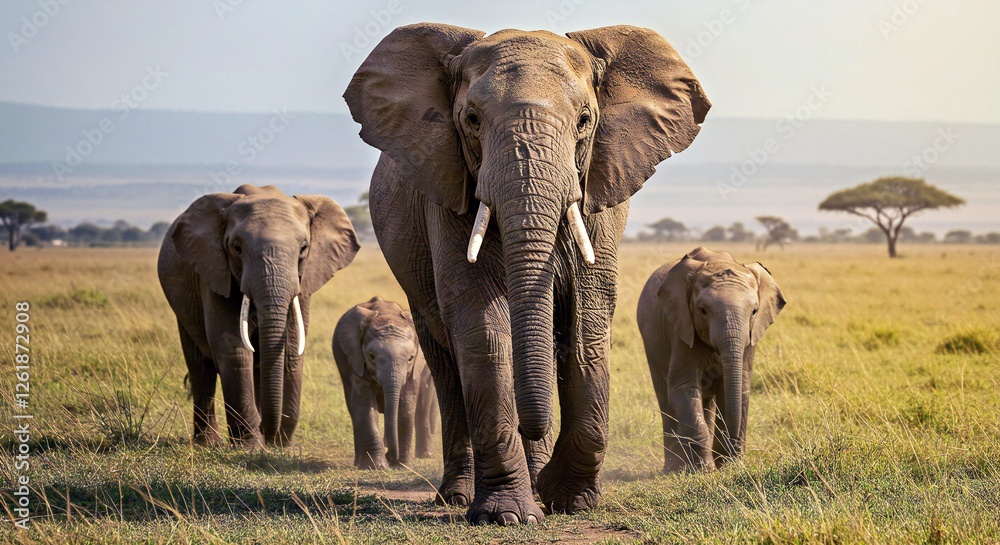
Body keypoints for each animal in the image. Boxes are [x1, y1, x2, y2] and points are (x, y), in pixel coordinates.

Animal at [158, 184, 360, 448]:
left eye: (304, 248)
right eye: (237, 248)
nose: (269, 435)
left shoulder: (304, 281)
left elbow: (292, 347)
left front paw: (283, 448)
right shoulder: (214, 273)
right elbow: (233, 347)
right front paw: (251, 447)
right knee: (201, 368)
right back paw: (208, 444)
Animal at [332, 297, 438, 469]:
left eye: (410, 358)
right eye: (371, 356)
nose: (391, 457)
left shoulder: (415, 368)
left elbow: (406, 403)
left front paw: (401, 465)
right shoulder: (353, 359)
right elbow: (364, 404)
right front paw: (376, 466)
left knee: (422, 405)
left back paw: (425, 455)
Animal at [343, 23, 710, 523]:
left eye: (584, 120)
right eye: (472, 120)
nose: (534, 428)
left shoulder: (600, 192)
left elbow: (588, 319)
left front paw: (570, 501)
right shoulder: (449, 187)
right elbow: (482, 324)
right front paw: (508, 515)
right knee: (445, 364)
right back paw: (458, 496)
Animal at [636, 247, 785, 473]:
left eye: (754, 311)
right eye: (703, 310)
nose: (731, 460)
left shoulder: (750, 339)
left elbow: (739, 389)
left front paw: (729, 467)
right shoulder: (682, 325)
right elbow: (684, 388)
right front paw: (704, 470)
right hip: (652, 343)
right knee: (665, 400)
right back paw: (673, 468)